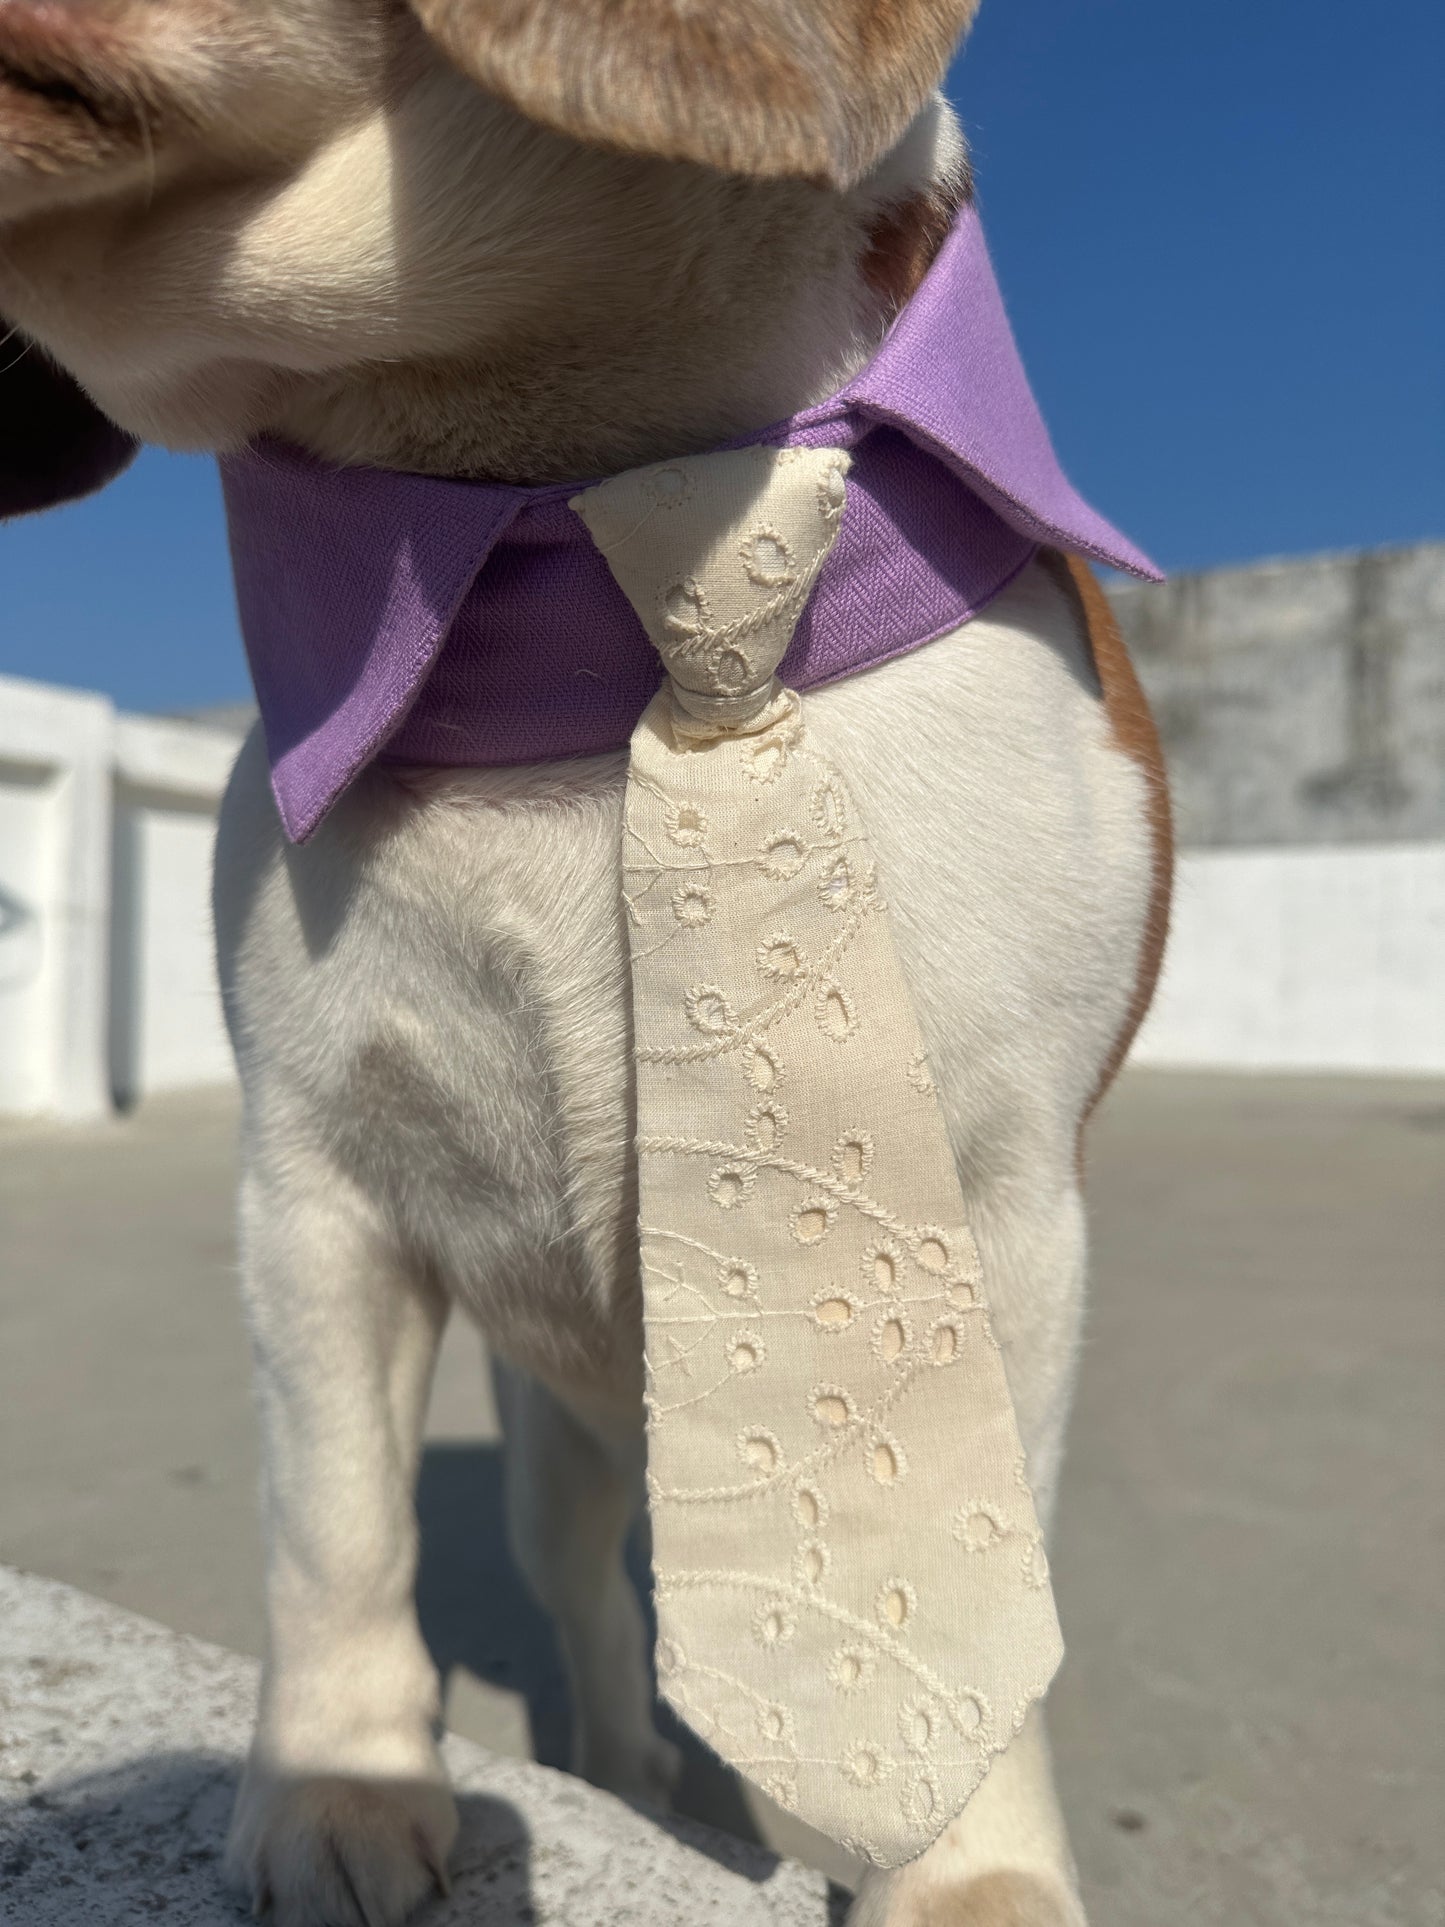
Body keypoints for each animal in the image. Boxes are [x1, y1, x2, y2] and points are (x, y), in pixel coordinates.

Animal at [0, 7, 1171, 1919]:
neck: (571, 525)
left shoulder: (1001, 1210)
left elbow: (973, 1569)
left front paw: (972, 1874)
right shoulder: (314, 1197)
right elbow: (335, 1520)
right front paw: (340, 1783)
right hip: (552, 1457)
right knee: (597, 1623)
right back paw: (624, 1765)